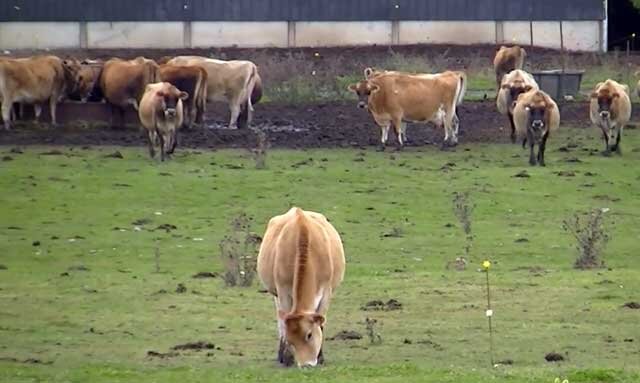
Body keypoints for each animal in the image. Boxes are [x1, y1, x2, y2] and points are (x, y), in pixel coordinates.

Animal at [256, 208, 348, 370]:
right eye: (291, 340)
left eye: (309, 335)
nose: (306, 364)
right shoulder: (282, 291)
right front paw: (287, 358)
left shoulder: (326, 292)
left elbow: (321, 323)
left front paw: (321, 357)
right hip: (276, 294)